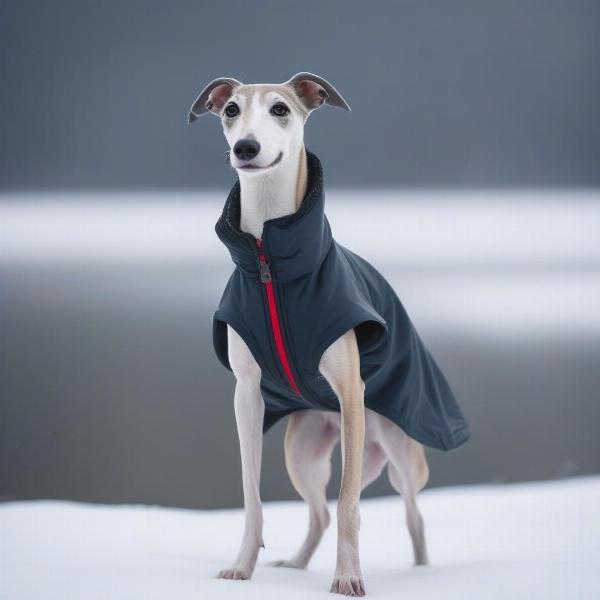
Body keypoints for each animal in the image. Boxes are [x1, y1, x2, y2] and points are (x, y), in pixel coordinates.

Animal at [190, 74, 428, 596]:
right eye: (231, 109)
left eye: (280, 108)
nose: (245, 147)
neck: (268, 259)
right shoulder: (247, 394)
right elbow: (252, 498)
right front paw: (241, 567)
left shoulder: (351, 392)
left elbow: (349, 503)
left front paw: (348, 577)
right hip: (302, 452)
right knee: (318, 513)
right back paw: (296, 564)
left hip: (397, 448)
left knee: (411, 512)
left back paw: (422, 569)